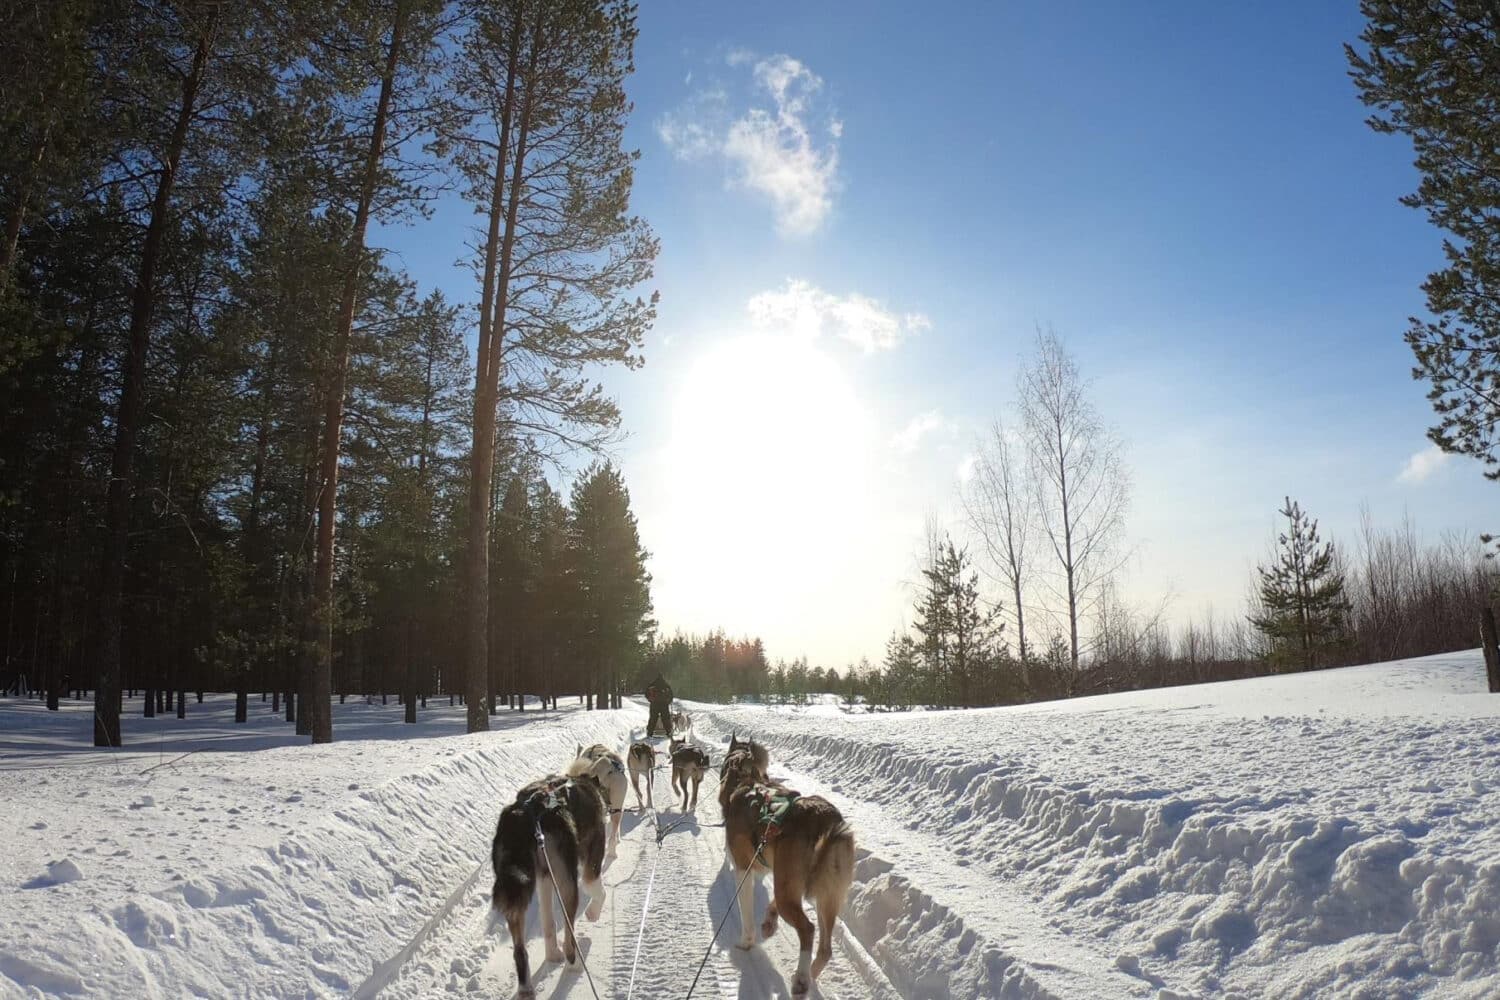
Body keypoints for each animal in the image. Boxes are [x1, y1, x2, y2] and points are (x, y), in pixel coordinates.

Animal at [492, 773, 609, 995]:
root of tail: (524, 816)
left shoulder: (545, 879)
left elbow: (548, 922)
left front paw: (552, 953)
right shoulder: (592, 858)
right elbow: (596, 888)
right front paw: (593, 913)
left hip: (516, 893)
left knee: (520, 952)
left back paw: (527, 987)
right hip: (567, 883)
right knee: (569, 937)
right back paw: (575, 964)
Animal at [717, 749, 852, 995]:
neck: (746, 783)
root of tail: (825, 820)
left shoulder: (744, 869)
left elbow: (746, 913)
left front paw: (746, 941)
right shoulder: (779, 877)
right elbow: (773, 904)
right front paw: (769, 922)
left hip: (800, 894)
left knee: (808, 929)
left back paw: (801, 979)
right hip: (826, 896)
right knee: (825, 948)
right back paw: (808, 975)